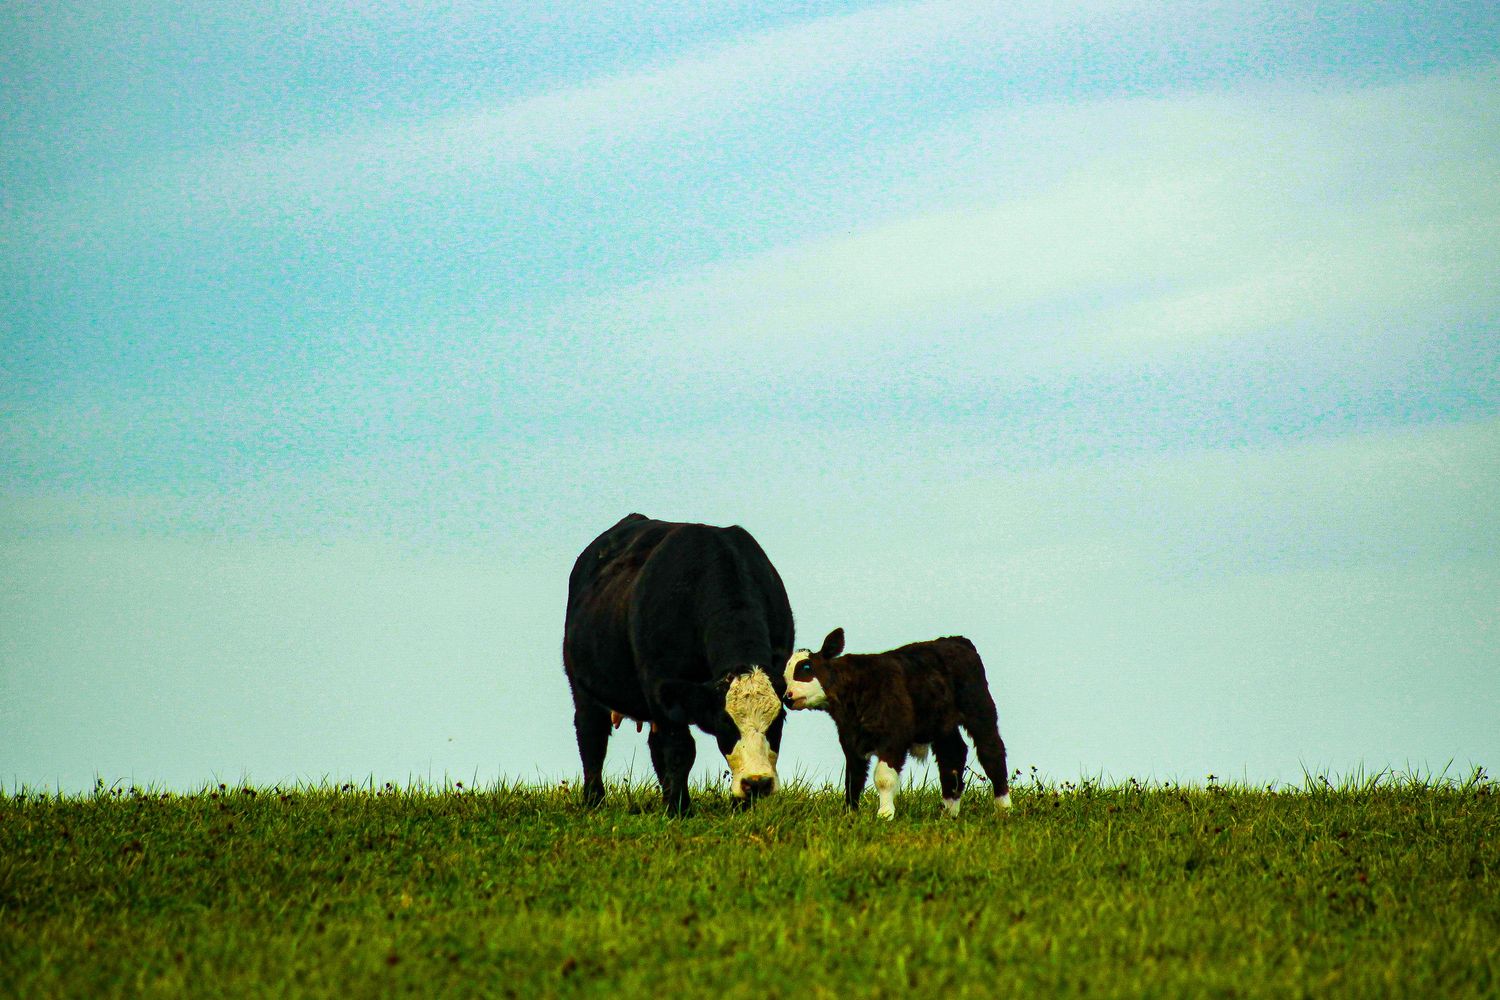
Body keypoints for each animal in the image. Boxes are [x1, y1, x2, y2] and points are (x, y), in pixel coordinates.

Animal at [563, 514, 795, 815]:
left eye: (779, 719)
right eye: (726, 721)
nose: (757, 782)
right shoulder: (661, 685)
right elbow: (680, 749)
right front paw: (679, 809)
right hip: (583, 687)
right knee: (591, 736)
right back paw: (594, 801)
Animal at [782, 628, 1012, 819]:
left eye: (806, 667)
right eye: (785, 677)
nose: (787, 697)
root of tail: (957, 640)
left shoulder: (893, 738)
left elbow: (883, 778)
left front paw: (885, 814)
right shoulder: (851, 741)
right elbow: (853, 779)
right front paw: (849, 815)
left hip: (979, 707)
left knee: (992, 751)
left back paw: (1004, 808)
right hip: (942, 724)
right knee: (952, 755)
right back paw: (949, 812)